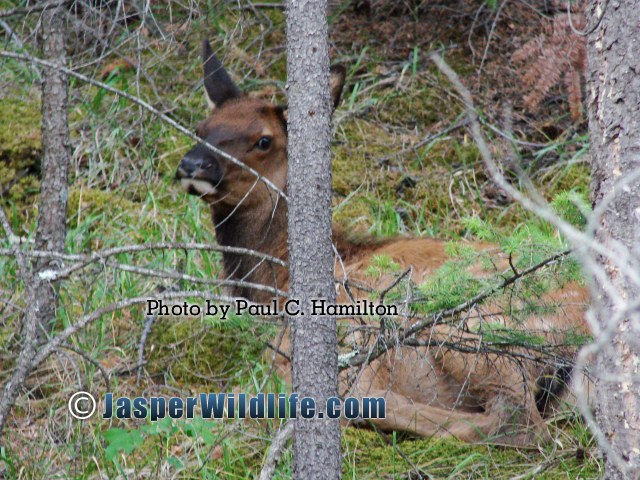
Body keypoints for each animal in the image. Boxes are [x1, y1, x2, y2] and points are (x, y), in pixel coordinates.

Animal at [175, 40, 592, 446]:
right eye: (200, 128)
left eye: (264, 140)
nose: (192, 165)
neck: (273, 285)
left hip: (465, 326)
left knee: (516, 423)